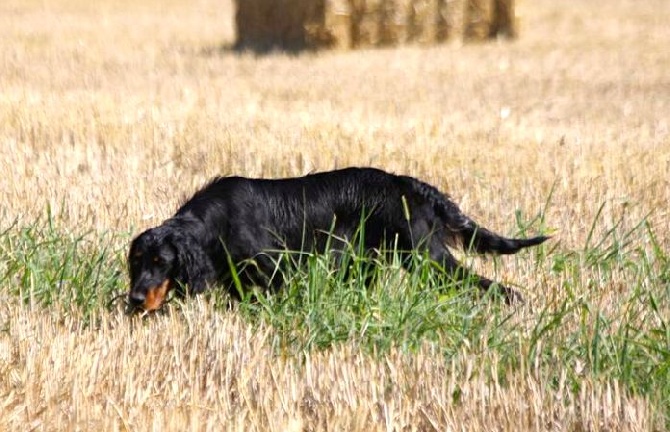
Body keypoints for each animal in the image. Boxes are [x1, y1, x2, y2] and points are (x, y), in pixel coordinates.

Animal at [129, 166, 548, 310]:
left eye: (161, 262)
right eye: (136, 263)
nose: (134, 299)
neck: (218, 221)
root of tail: (404, 183)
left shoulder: (275, 272)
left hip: (425, 256)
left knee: (487, 283)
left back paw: (515, 304)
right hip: (368, 262)